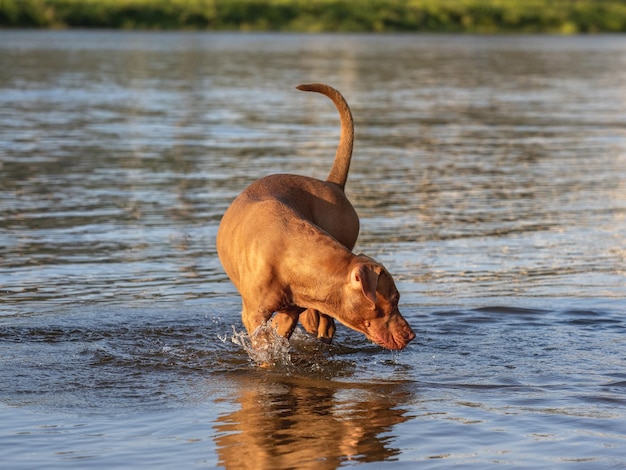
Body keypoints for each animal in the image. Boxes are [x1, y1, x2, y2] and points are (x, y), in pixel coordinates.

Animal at [216, 83, 414, 348]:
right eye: (394, 299)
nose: (412, 335)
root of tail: (332, 185)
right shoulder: (255, 314)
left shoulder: (289, 311)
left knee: (324, 320)